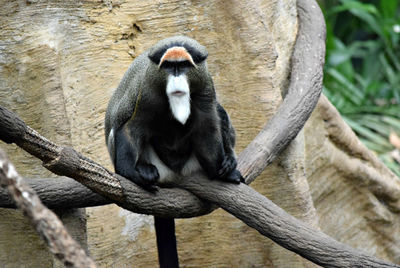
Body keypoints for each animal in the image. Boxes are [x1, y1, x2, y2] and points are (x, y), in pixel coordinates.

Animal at [104, 36, 242, 268]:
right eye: (169, 67)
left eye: (183, 66)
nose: (176, 78)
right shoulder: (146, 92)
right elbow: (131, 126)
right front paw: (132, 175)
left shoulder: (205, 88)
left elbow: (207, 125)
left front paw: (223, 171)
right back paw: (145, 169)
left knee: (219, 110)